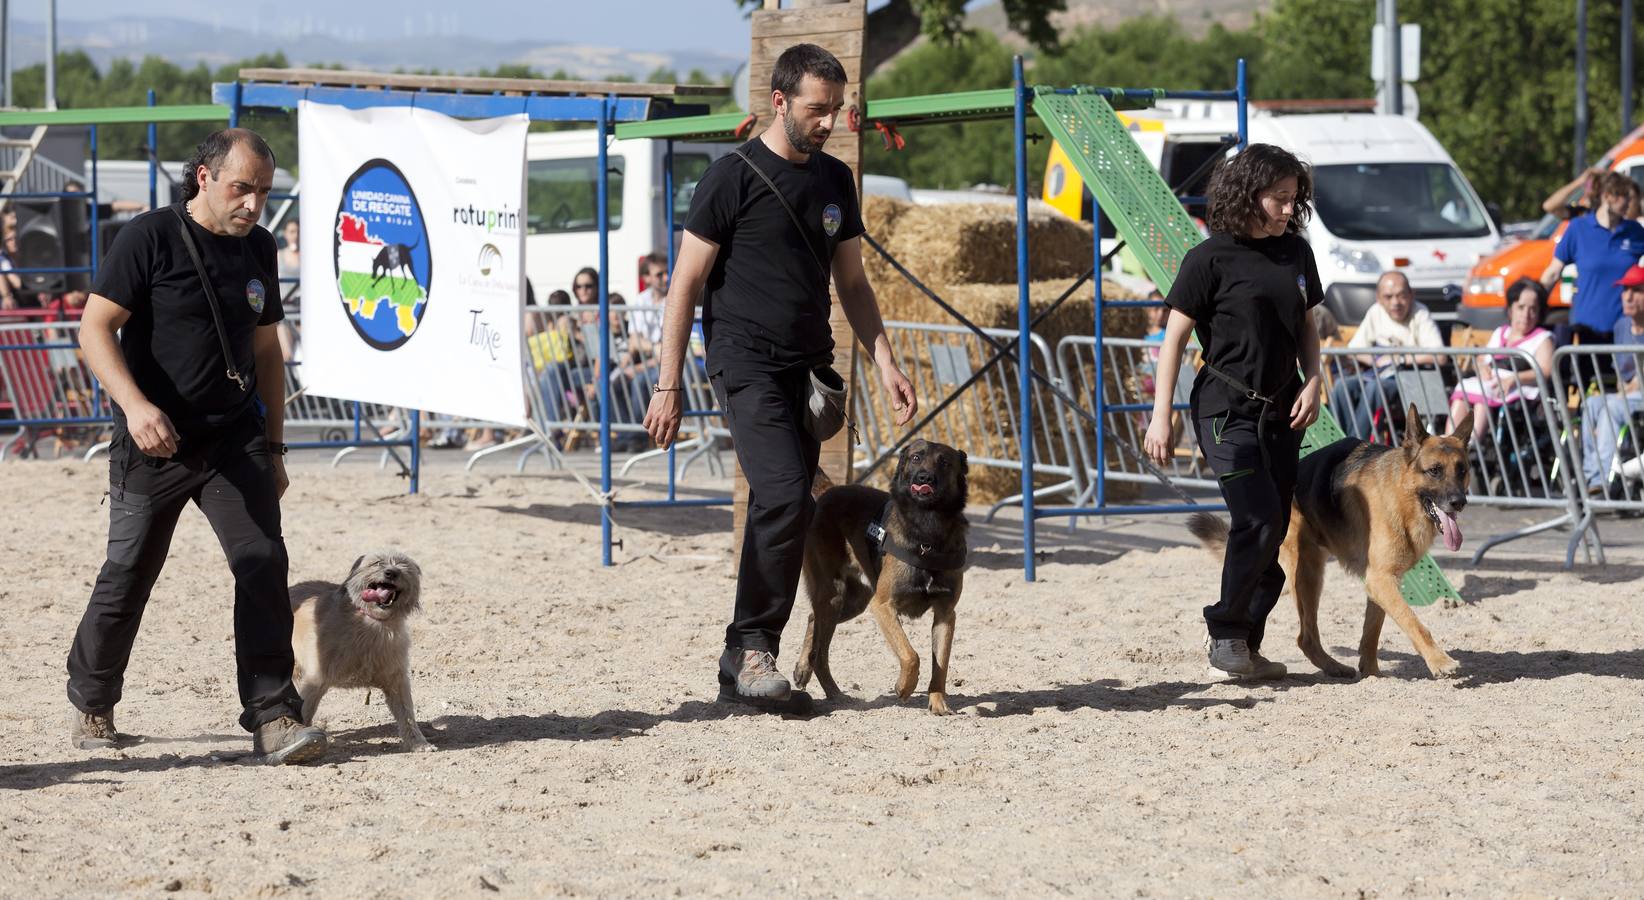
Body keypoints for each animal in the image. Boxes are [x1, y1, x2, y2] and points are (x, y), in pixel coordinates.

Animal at [792, 440, 960, 714]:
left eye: (944, 462)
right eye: (916, 457)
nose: (924, 478)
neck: (927, 537)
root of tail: (830, 491)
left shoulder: (945, 615)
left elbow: (940, 665)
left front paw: (938, 702)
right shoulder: (883, 606)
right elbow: (911, 655)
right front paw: (904, 687)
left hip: (853, 603)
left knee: (812, 620)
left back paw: (808, 673)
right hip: (835, 598)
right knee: (820, 649)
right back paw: (832, 691)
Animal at [1190, 404, 1473, 681]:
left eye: (1462, 471)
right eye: (1434, 471)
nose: (1459, 502)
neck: (1402, 496)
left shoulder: (1379, 580)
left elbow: (1372, 630)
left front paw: (1371, 673)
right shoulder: (1381, 580)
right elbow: (1412, 620)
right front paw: (1440, 662)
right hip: (1307, 572)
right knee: (1304, 636)